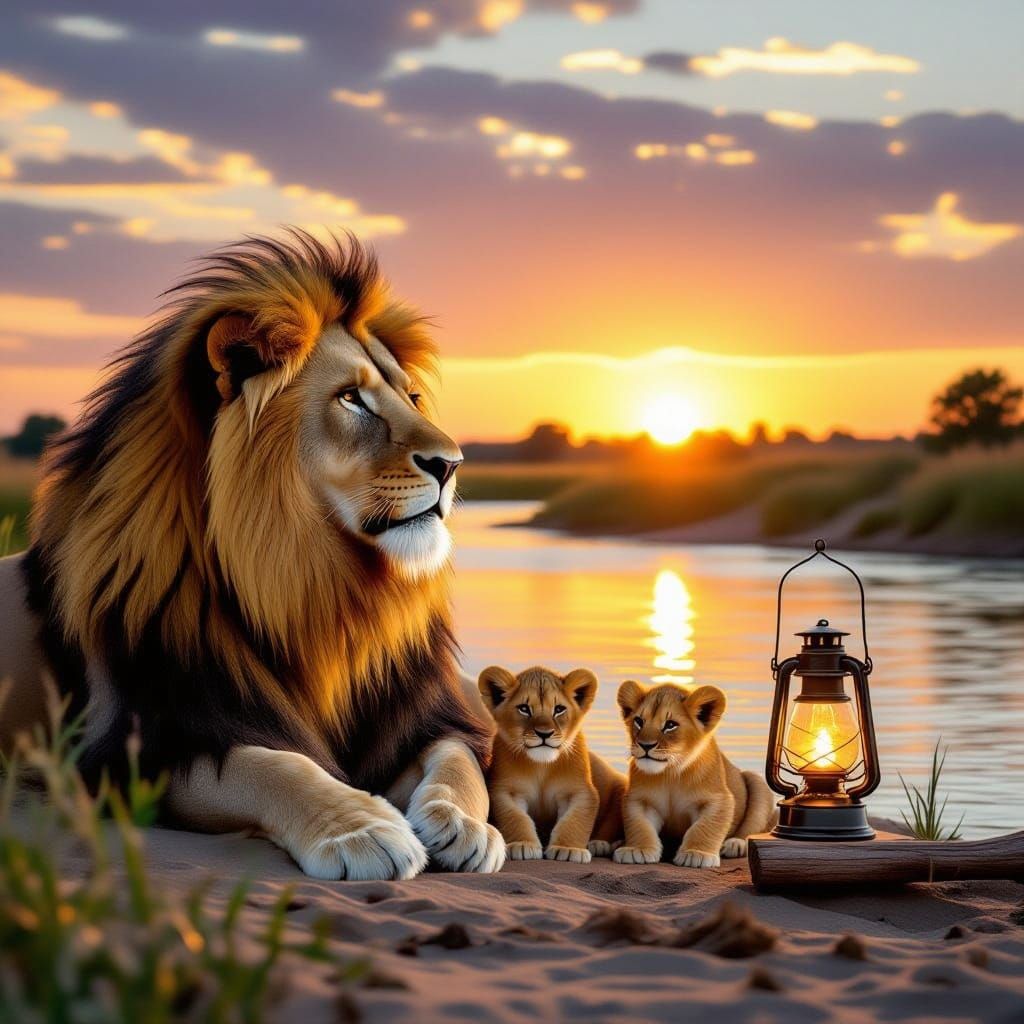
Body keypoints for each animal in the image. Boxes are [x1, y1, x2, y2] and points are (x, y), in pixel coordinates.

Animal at [0, 230, 505, 880]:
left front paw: (464, 825)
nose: (452, 464)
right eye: (352, 399)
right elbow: (272, 765)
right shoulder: (146, 748)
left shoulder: (421, 716)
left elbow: (457, 759)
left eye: (411, 396)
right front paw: (362, 831)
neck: (316, 590)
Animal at [478, 665, 625, 862]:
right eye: (524, 708)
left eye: (559, 709)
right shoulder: (507, 792)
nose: (544, 733)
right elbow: (515, 818)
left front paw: (568, 849)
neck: (542, 767)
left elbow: (573, 820)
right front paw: (522, 845)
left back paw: (600, 844)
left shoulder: (579, 791)